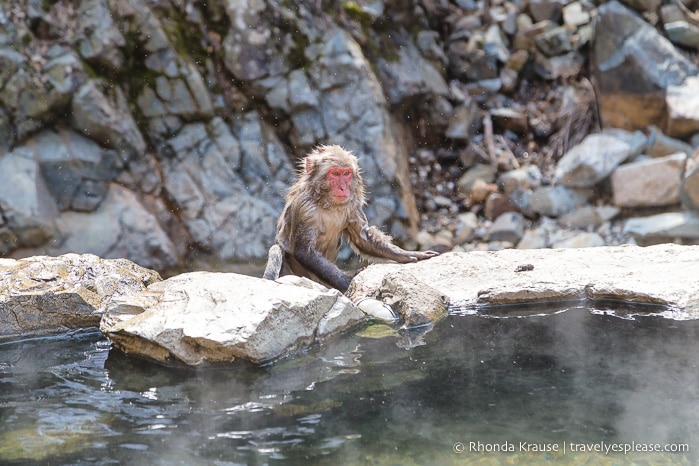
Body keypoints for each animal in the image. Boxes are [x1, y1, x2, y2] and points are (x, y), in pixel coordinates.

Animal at [266, 144, 440, 294]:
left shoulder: (352, 203)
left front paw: (407, 254)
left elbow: (362, 239)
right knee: (276, 251)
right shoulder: (304, 208)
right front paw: (348, 281)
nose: (343, 188)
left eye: (346, 173)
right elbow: (305, 252)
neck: (327, 203)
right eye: (335, 174)